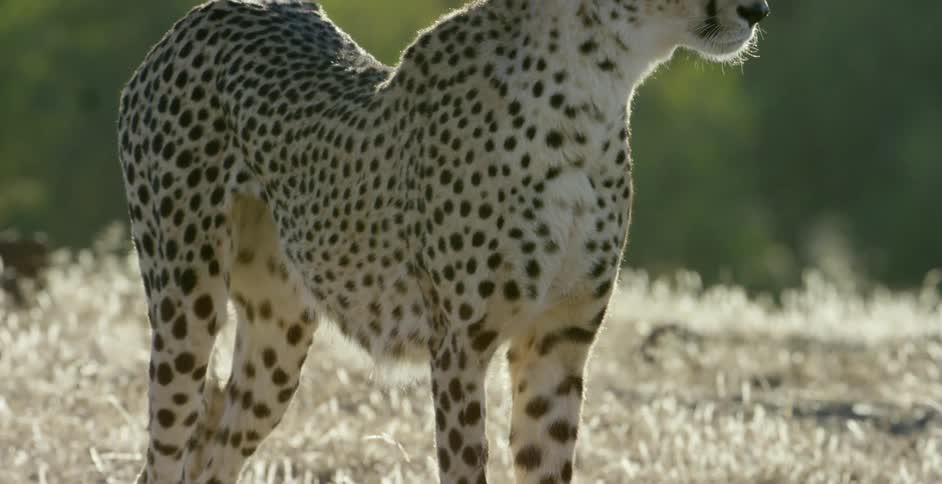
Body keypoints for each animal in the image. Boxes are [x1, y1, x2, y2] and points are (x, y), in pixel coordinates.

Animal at [116, 0, 769, 482]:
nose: (758, 8)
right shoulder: (460, 345)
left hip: (279, 338)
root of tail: (204, 15)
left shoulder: (558, 341)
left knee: (214, 444)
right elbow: (465, 465)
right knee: (166, 450)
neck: (594, 87)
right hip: (185, 302)